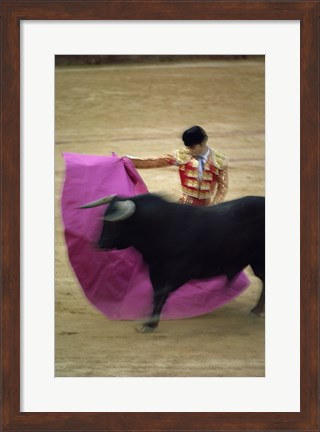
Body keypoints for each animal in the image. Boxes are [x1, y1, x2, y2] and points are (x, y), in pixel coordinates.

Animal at [80, 194, 264, 332]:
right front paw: (150, 321)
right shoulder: (156, 269)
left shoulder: (181, 270)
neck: (165, 228)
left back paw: (256, 312)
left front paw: (150, 324)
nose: (99, 244)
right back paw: (257, 311)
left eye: (115, 224)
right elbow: (156, 293)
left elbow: (162, 293)